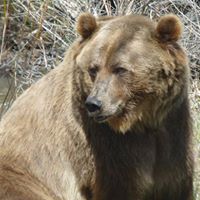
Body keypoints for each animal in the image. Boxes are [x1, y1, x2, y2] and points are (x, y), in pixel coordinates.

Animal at [0, 13, 193, 199]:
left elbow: (175, 183)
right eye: (93, 69)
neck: (142, 121)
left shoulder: (173, 127)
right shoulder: (104, 145)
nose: (94, 104)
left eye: (120, 69)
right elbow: (120, 185)